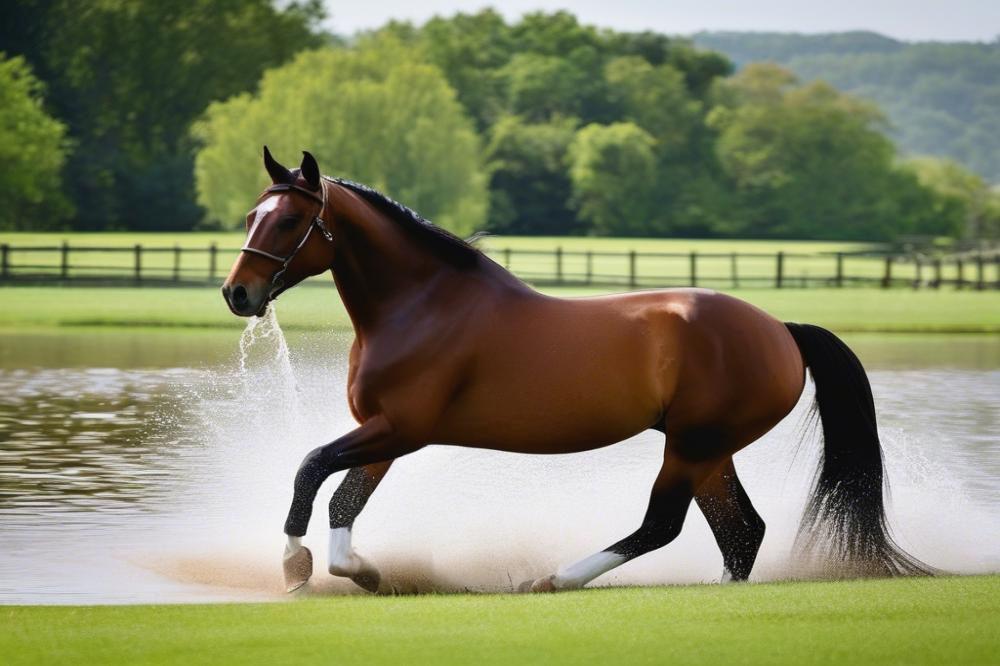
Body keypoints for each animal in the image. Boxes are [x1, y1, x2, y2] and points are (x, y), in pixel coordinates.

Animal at [223, 147, 932, 592]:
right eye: (252, 214)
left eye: (290, 219)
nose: (237, 294)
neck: (421, 306)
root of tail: (781, 330)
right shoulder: (383, 434)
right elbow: (343, 497)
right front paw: (363, 573)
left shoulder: (401, 429)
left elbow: (311, 466)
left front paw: (296, 566)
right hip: (710, 450)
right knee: (741, 533)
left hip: (691, 445)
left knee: (665, 525)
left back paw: (553, 578)